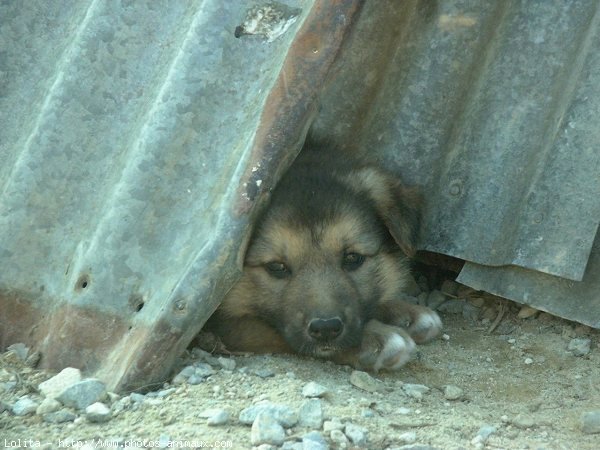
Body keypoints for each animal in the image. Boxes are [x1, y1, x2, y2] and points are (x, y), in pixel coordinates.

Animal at [204, 143, 442, 370]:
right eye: (276, 267)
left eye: (353, 258)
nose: (326, 328)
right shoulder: (223, 322)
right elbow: (267, 328)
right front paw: (376, 337)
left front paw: (405, 312)